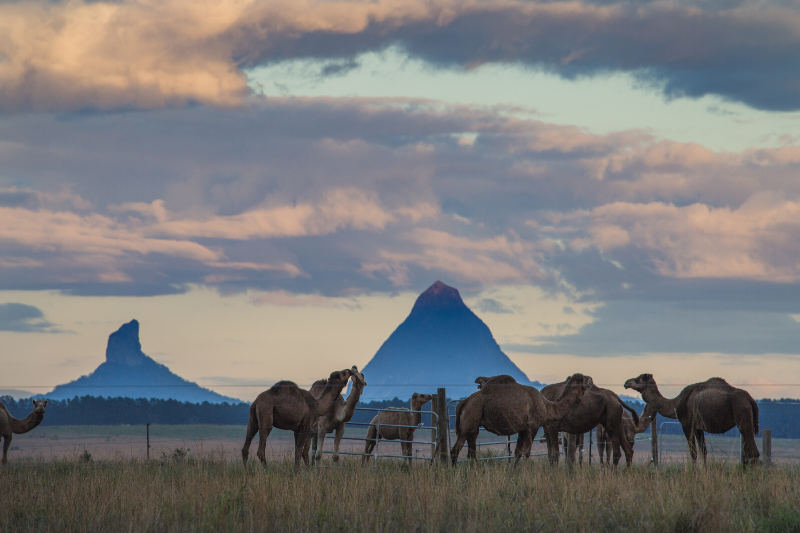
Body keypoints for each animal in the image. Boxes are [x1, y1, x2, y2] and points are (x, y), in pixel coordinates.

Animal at [454, 372, 592, 468]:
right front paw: (525, 474)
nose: (591, 379)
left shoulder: (523, 428)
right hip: (469, 420)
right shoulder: (533, 426)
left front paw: (513, 474)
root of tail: (464, 402)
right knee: (455, 450)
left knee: (471, 453)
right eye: (584, 379)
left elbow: (517, 452)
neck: (547, 406)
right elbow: (527, 452)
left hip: (474, 426)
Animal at [620, 372, 760, 464]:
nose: (626, 383)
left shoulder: (687, 424)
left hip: (743, 417)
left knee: (753, 452)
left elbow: (693, 452)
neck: (675, 404)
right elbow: (704, 452)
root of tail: (751, 400)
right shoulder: (699, 427)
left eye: (638, 379)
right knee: (748, 452)